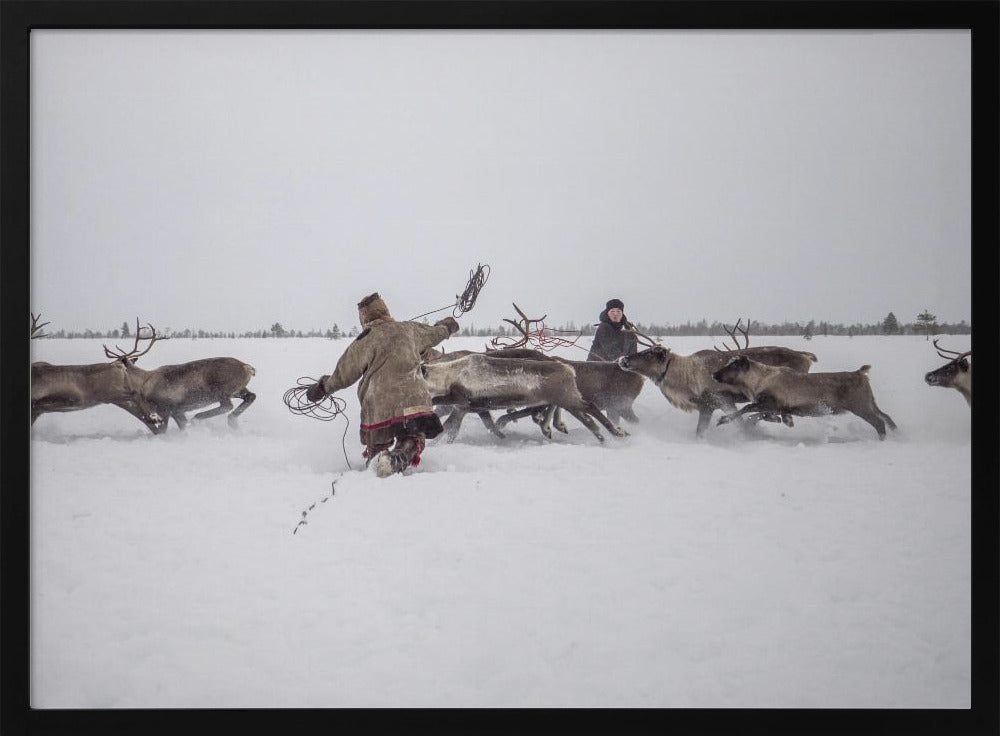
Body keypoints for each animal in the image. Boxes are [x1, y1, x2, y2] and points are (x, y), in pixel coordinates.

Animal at [102, 321, 257, 433]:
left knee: (227, 406)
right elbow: (182, 426)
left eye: (114, 366)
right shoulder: (177, 411)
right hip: (238, 389)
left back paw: (199, 418)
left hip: (221, 390)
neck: (143, 383)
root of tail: (247, 367)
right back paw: (231, 421)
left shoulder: (165, 407)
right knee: (251, 396)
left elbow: (163, 430)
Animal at [617, 319, 819, 437]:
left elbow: (707, 430)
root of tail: (806, 356)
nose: (623, 359)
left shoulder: (717, 401)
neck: (685, 380)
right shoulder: (712, 405)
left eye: (649, 354)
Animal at [712, 355, 897, 440]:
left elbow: (747, 408)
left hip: (860, 406)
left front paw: (723, 420)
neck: (757, 382)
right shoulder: (780, 409)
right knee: (887, 417)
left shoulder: (771, 403)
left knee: (879, 422)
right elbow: (761, 415)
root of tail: (861, 373)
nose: (714, 374)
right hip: (870, 402)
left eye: (734, 366)